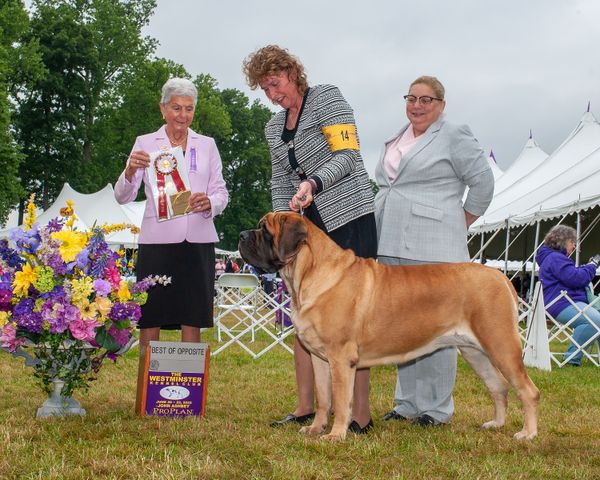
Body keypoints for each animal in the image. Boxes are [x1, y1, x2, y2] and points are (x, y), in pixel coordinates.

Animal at [238, 212, 540, 440]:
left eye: (264, 230)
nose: (241, 235)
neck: (308, 273)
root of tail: (501, 278)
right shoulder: (319, 358)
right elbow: (323, 398)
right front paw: (314, 429)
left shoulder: (340, 359)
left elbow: (341, 400)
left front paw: (335, 435)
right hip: (476, 352)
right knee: (499, 386)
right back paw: (496, 424)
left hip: (501, 345)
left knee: (528, 391)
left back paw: (527, 434)